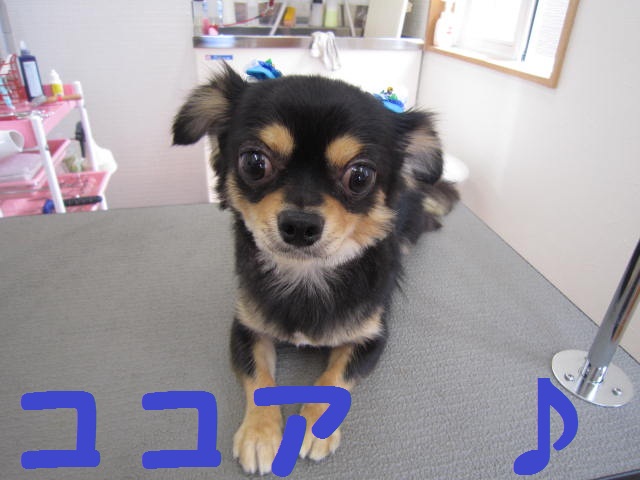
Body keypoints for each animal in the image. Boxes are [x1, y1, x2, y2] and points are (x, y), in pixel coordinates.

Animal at [172, 65, 457, 475]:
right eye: (254, 163)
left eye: (360, 176)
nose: (300, 225)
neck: (307, 275)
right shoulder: (246, 327)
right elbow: (259, 378)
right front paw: (259, 435)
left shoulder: (370, 337)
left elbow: (333, 380)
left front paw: (313, 427)